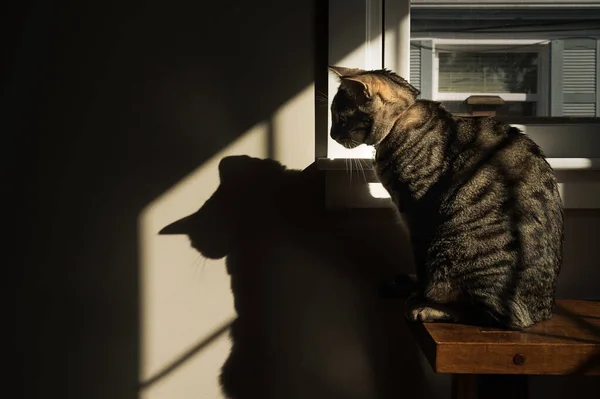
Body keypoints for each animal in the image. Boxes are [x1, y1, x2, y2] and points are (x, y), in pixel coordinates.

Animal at [328, 65, 564, 328]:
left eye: (341, 118)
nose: (332, 135)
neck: (400, 121)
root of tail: (541, 312)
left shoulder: (417, 215)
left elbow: (421, 266)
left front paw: (419, 295)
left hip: (452, 248)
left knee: (488, 314)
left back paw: (426, 308)